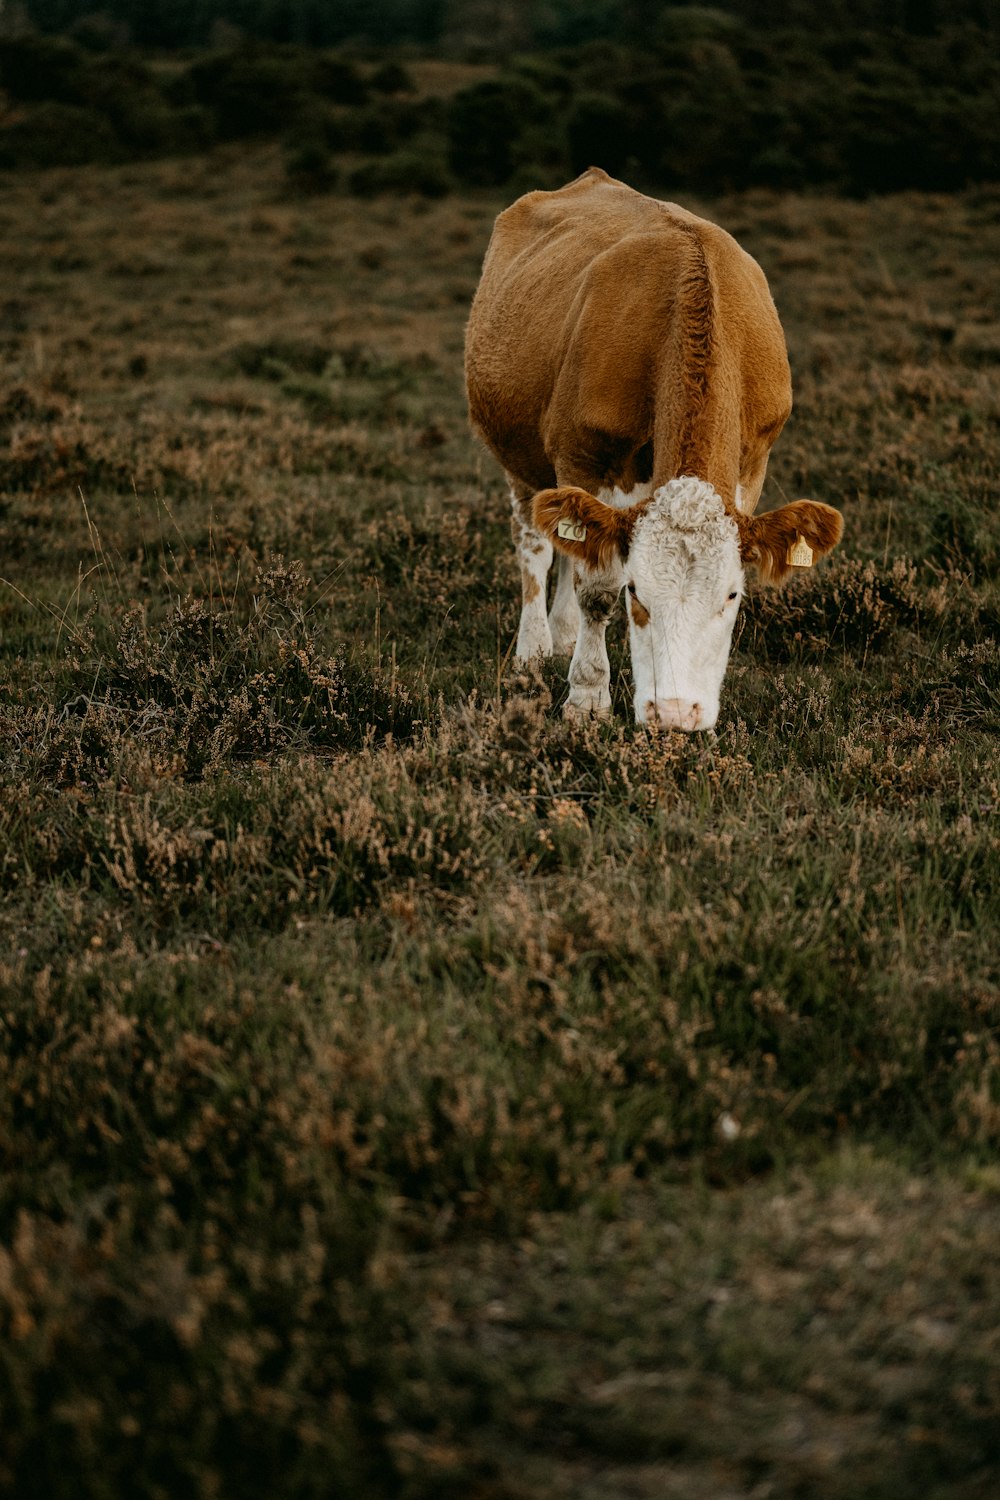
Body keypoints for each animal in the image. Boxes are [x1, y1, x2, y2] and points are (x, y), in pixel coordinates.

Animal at [464, 167, 839, 729]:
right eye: (637, 592)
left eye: (732, 594)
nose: (676, 713)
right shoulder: (583, 455)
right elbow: (597, 589)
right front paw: (587, 697)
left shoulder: (753, 463)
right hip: (519, 453)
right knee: (534, 543)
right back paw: (534, 647)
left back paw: (564, 634)